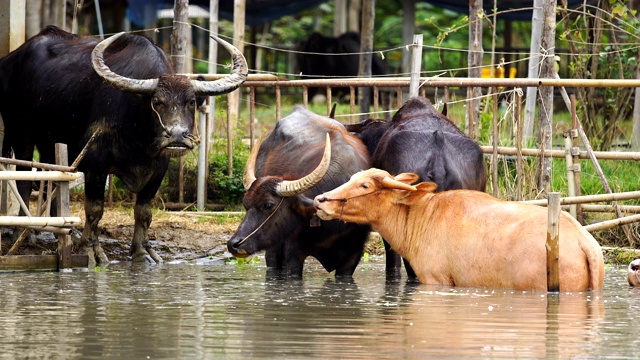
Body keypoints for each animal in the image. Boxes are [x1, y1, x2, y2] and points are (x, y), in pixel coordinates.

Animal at [0, 25, 248, 266]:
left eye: (191, 102)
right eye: (157, 102)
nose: (177, 136)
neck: (139, 137)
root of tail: (10, 60)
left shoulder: (158, 169)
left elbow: (143, 212)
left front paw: (141, 252)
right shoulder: (96, 165)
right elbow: (94, 209)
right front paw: (91, 251)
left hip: (50, 142)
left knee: (53, 178)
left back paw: (65, 233)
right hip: (20, 133)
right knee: (23, 181)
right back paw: (22, 234)